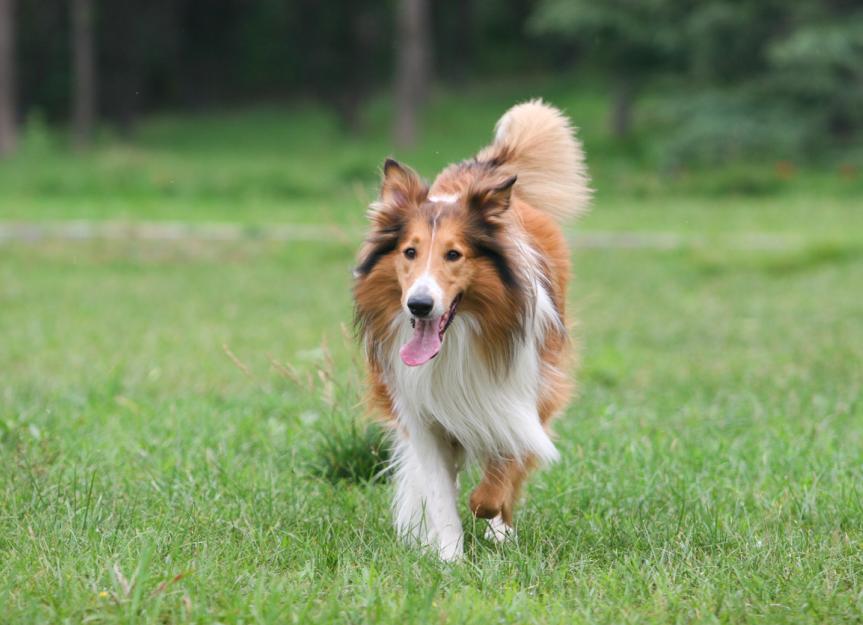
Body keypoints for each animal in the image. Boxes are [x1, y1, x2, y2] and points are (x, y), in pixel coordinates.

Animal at [354, 100, 592, 560]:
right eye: (409, 252)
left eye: (454, 254)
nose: (419, 304)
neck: (458, 340)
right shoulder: (421, 414)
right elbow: (441, 494)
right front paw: (448, 555)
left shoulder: (521, 395)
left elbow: (500, 473)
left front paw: (490, 513)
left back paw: (500, 528)